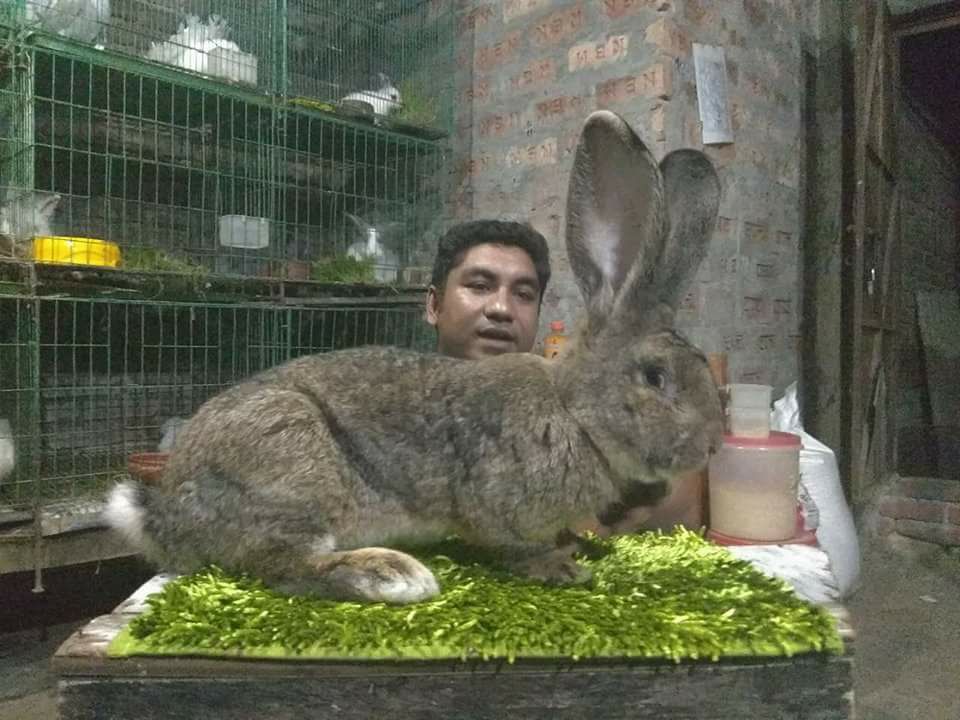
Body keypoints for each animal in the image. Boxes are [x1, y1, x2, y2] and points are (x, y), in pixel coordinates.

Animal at [104, 110, 724, 605]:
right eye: (654, 376)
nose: (711, 446)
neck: (574, 412)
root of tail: (168, 515)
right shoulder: (497, 503)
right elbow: (513, 546)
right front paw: (559, 567)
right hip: (292, 462)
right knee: (281, 564)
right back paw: (391, 575)